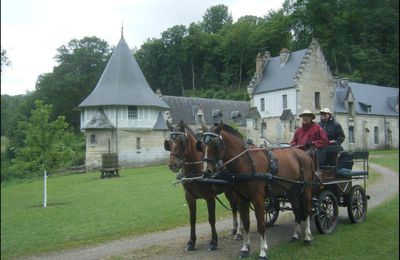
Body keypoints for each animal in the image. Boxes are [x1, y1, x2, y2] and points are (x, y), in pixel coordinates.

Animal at [163, 121, 241, 251]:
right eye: (168, 143)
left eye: (182, 142)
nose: (172, 165)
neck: (196, 170)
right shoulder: (189, 197)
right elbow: (192, 219)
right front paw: (191, 242)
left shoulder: (209, 197)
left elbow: (211, 219)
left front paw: (213, 241)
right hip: (228, 191)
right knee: (234, 207)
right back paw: (235, 229)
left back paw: (240, 232)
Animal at [198, 122, 316, 260]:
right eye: (201, 145)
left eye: (216, 145)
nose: (207, 171)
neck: (247, 163)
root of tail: (305, 154)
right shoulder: (241, 199)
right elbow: (246, 223)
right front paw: (245, 248)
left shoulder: (258, 199)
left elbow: (260, 224)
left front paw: (263, 251)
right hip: (291, 191)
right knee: (297, 210)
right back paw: (295, 235)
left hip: (306, 189)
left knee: (307, 211)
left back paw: (307, 237)